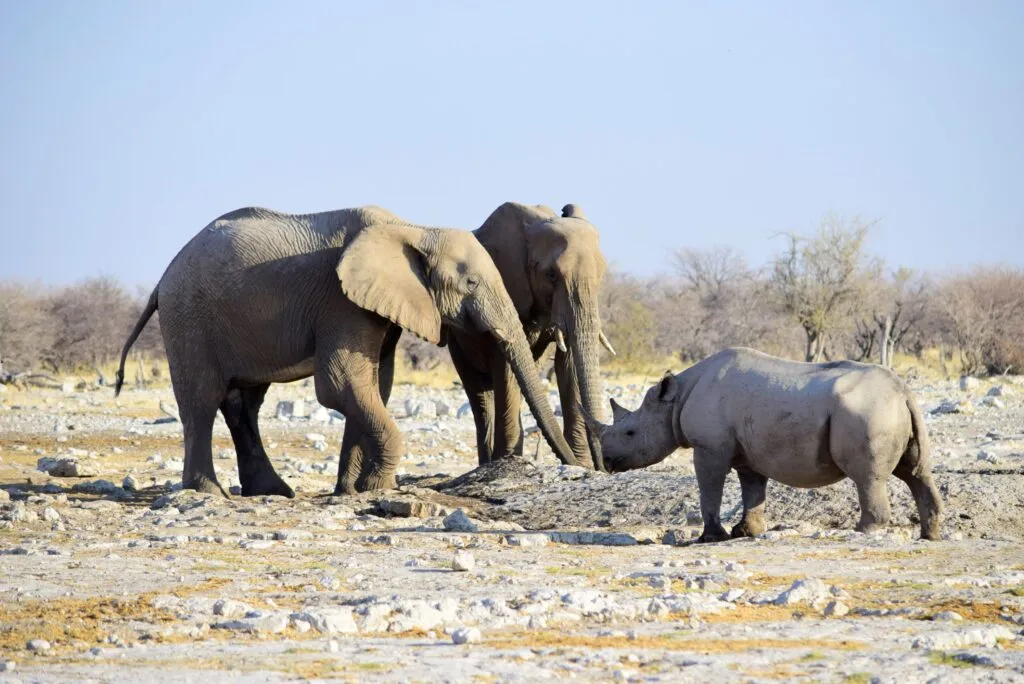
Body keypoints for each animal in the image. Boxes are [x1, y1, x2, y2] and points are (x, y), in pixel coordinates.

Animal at [114, 205, 578, 496]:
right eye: (472, 284)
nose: (582, 466)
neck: (412, 228)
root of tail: (162, 278)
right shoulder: (341, 301)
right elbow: (340, 385)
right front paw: (376, 489)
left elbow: (374, 385)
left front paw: (351, 491)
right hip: (189, 318)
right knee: (201, 401)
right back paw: (209, 493)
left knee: (244, 403)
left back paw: (273, 492)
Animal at [584, 347, 943, 542]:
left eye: (630, 433)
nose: (608, 462)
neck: (674, 400)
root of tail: (903, 391)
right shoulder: (748, 452)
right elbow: (752, 488)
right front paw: (746, 532)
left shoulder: (709, 448)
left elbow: (709, 487)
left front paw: (710, 537)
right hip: (892, 410)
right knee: (916, 473)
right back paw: (928, 536)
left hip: (867, 412)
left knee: (868, 477)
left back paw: (861, 532)